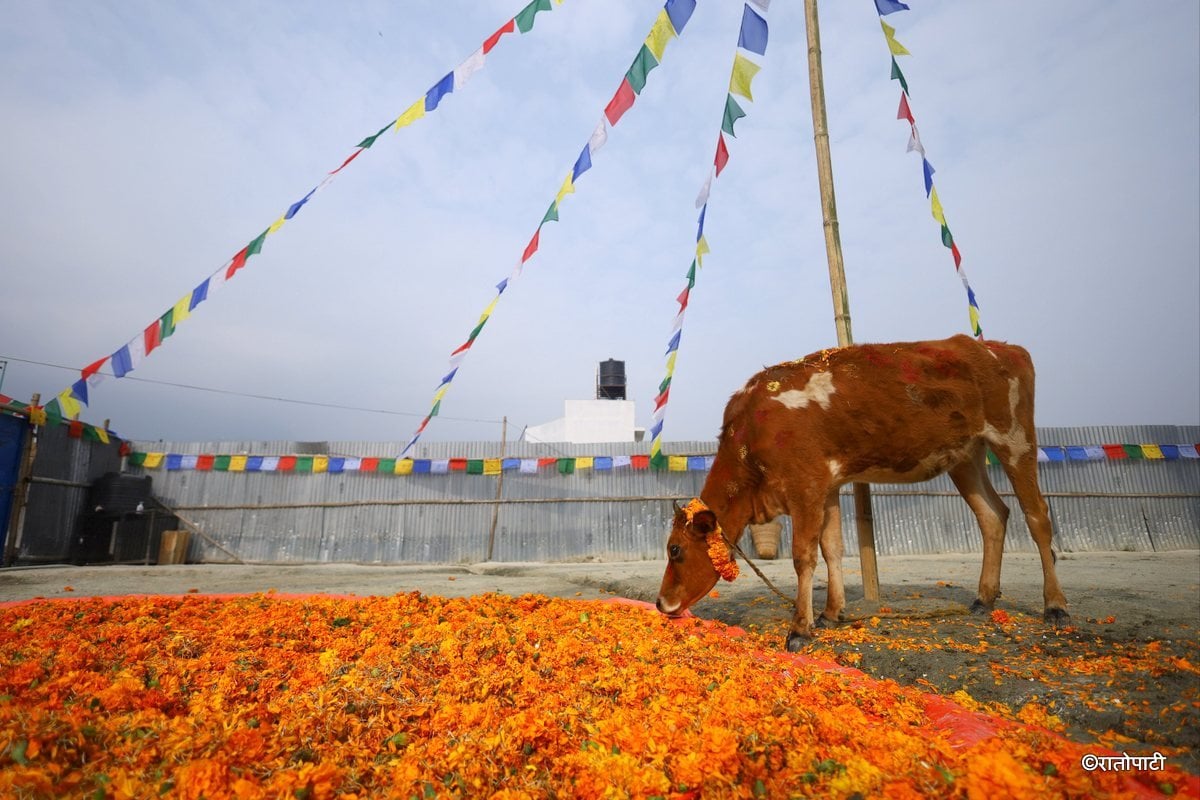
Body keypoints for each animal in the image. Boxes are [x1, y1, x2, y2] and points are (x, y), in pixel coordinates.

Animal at [662, 335, 1075, 652]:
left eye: (675, 549)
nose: (661, 602)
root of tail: (999, 347)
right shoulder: (826, 486)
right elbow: (832, 549)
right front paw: (831, 613)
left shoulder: (805, 485)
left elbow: (803, 557)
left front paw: (799, 628)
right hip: (965, 456)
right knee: (993, 516)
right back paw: (984, 598)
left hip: (1015, 439)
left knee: (1037, 517)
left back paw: (1055, 606)